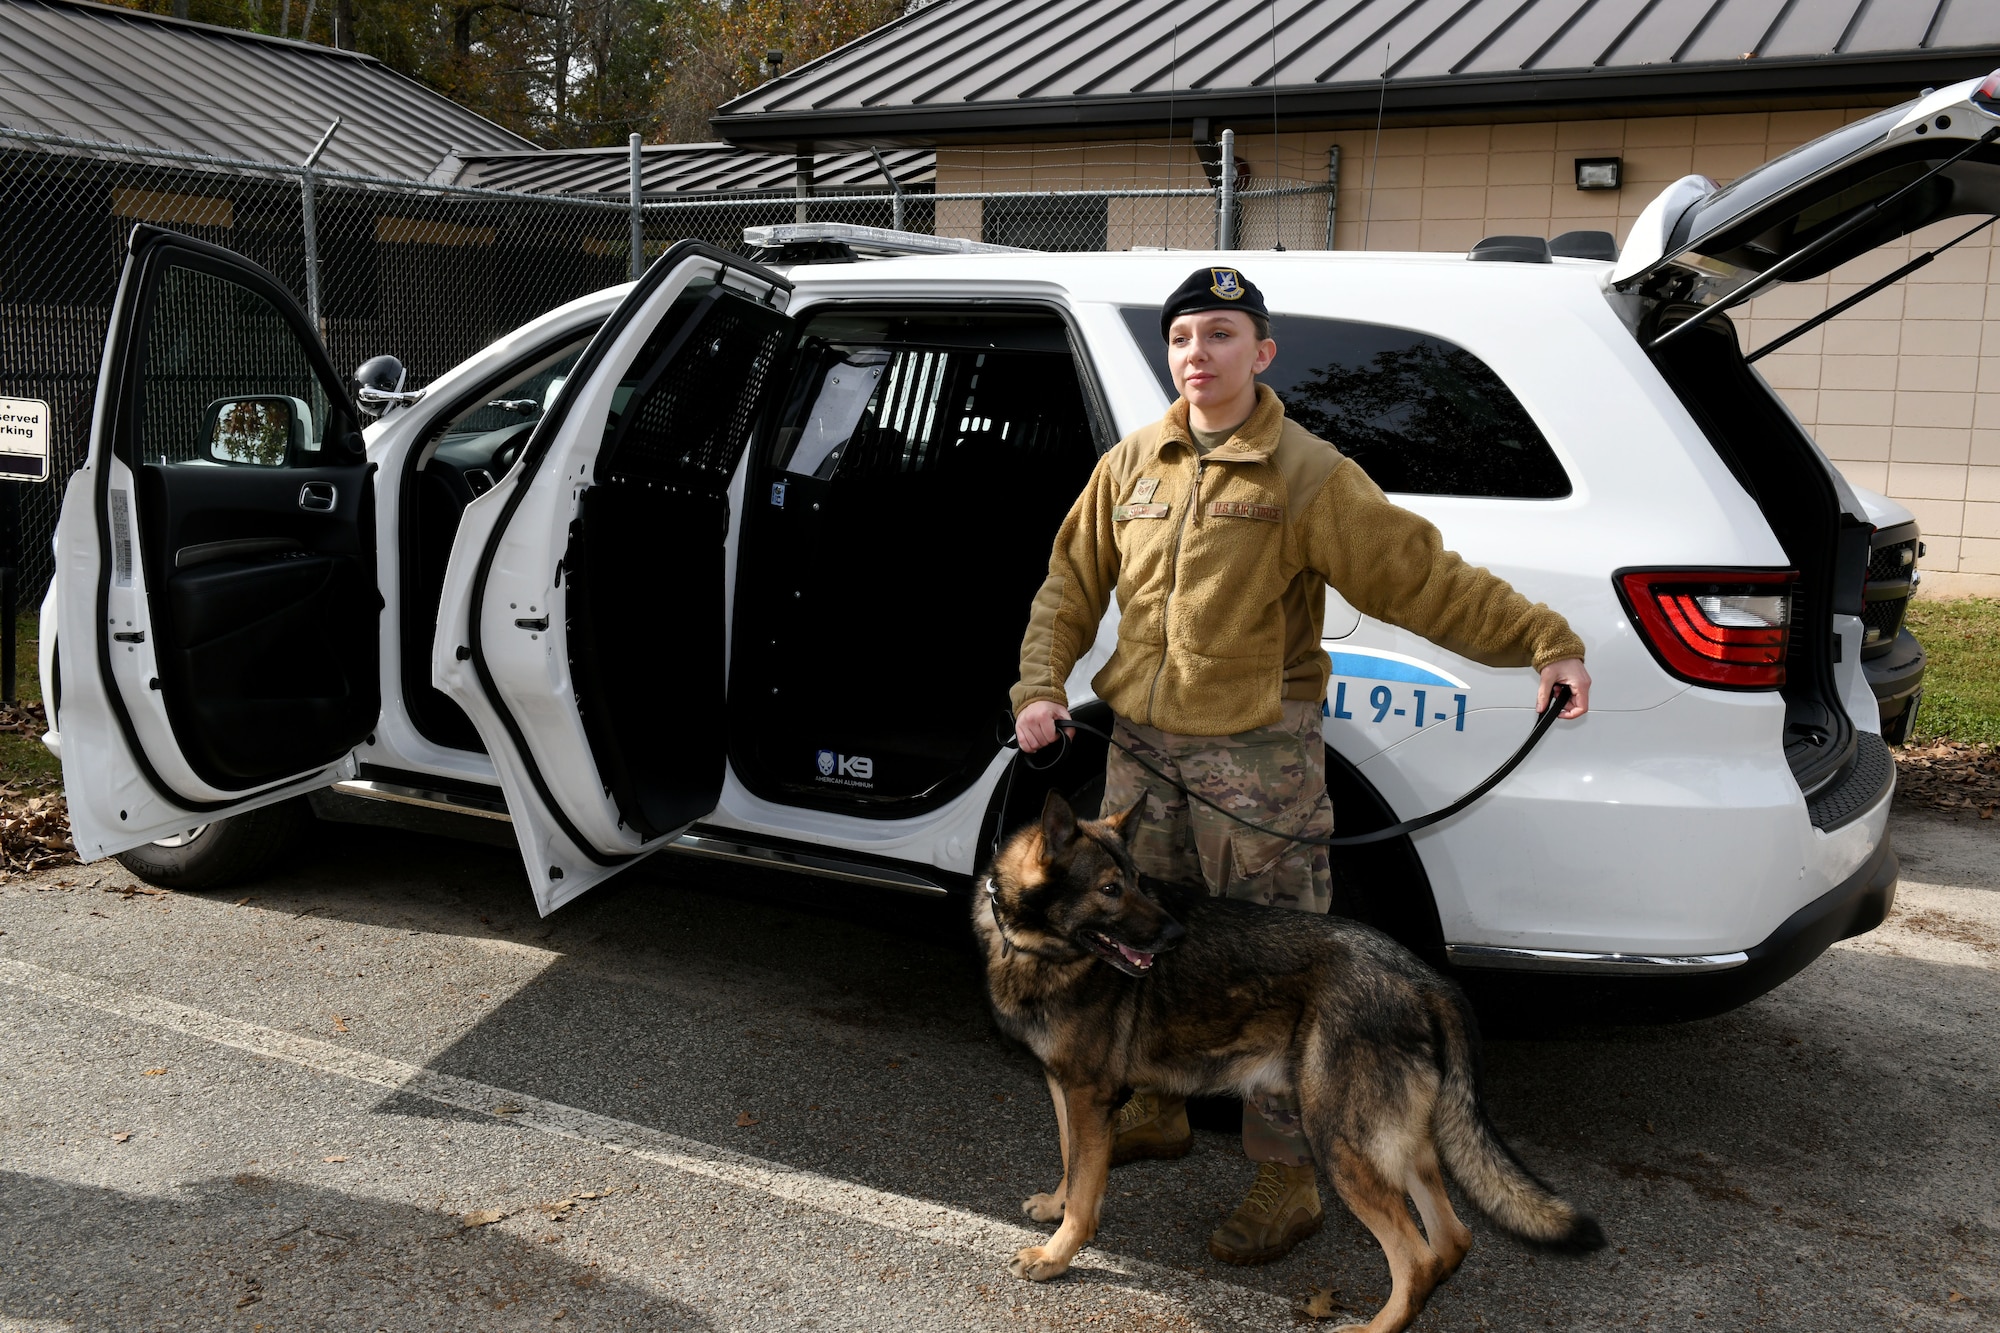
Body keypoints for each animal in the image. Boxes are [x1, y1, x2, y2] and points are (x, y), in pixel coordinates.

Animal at [976, 792, 1600, 1320]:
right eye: (1111, 888)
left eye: (1135, 883)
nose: (1176, 935)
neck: (1036, 947)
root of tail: (1423, 976)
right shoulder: (1067, 1089)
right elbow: (1072, 1161)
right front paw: (1056, 1208)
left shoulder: (1089, 1095)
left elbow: (1087, 1190)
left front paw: (1057, 1255)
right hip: (1395, 1142)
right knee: (1451, 1238)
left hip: (1339, 1139)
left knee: (1417, 1257)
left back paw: (1373, 1327)